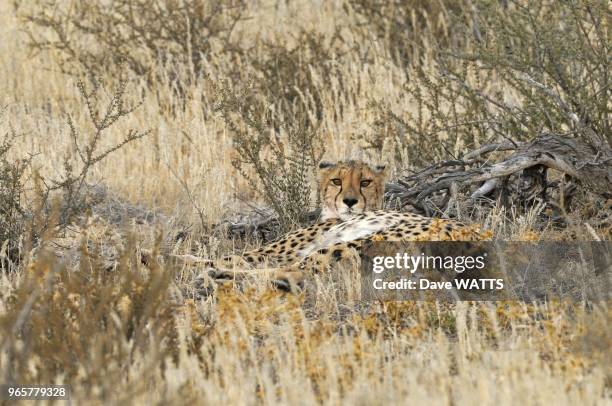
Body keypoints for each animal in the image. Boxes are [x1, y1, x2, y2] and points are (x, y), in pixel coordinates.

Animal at [208, 160, 486, 290]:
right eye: (336, 181)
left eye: (364, 182)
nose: (350, 201)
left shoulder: (274, 251)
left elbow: (229, 256)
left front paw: (206, 264)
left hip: (363, 241)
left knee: (297, 271)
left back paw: (218, 276)